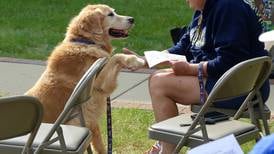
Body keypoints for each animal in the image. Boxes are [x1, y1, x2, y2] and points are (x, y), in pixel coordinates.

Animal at [26, 4, 146, 153]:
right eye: (110, 14)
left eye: (115, 11)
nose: (132, 19)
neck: (87, 42)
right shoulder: (101, 82)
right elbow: (115, 57)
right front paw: (136, 60)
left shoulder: (92, 121)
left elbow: (100, 146)